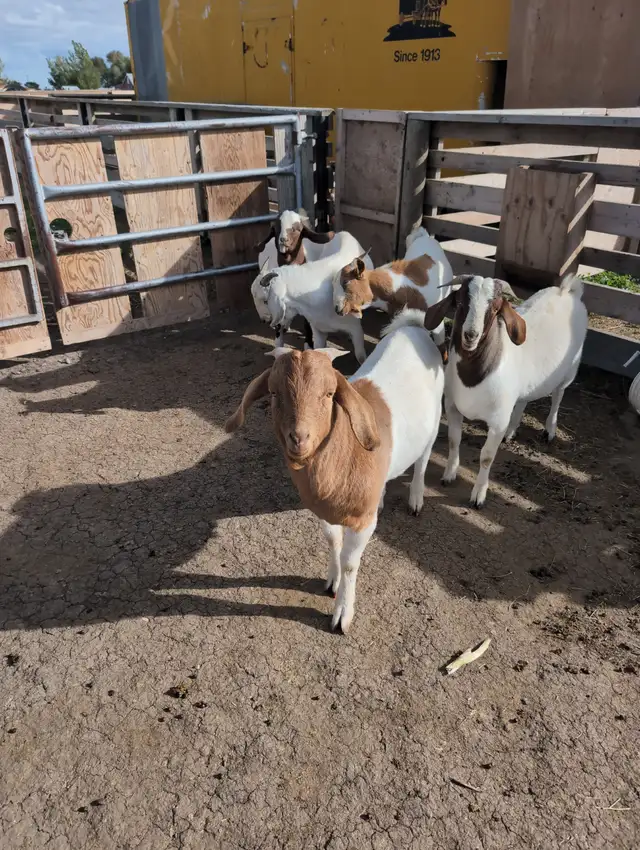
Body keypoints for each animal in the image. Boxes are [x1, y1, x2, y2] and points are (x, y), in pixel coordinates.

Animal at [225, 308, 444, 633]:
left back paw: (416, 498)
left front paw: (342, 613)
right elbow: (333, 542)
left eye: (329, 394)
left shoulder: (360, 522)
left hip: (436, 420)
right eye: (274, 393)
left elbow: (351, 561)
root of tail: (413, 326)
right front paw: (332, 580)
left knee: (423, 460)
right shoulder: (324, 511)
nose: (299, 437)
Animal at [253, 231, 373, 364]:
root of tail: (343, 233)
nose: (263, 320)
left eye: (265, 300)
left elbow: (361, 356)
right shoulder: (318, 329)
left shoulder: (356, 329)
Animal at [333, 225, 454, 357]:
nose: (337, 309)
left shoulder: (436, 322)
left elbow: (441, 347)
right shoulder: (398, 314)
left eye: (345, 282)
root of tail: (424, 236)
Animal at [424, 274, 588, 508]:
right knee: (523, 400)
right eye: (461, 303)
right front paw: (449, 475)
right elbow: (454, 440)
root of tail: (566, 291)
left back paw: (550, 430)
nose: (471, 335)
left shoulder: (497, 421)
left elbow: (486, 457)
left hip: (570, 371)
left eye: (494, 309)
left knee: (558, 396)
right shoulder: (453, 407)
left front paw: (478, 496)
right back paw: (511, 431)